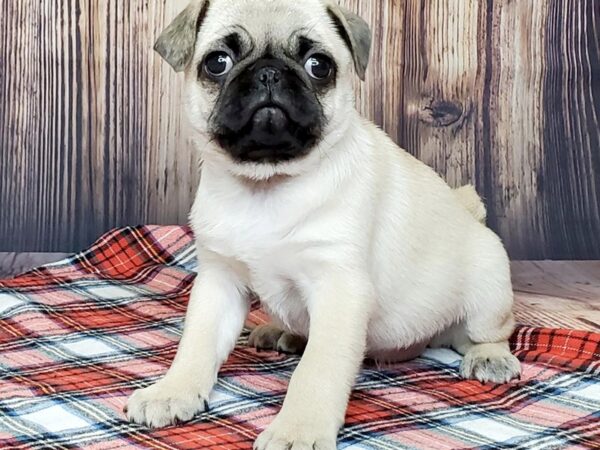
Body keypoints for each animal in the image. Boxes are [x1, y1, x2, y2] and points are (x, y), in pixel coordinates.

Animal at [126, 0, 520, 450]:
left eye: (319, 65)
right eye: (217, 62)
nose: (269, 72)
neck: (268, 184)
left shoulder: (339, 288)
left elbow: (317, 369)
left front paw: (299, 428)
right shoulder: (218, 281)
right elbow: (197, 343)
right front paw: (172, 390)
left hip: (488, 287)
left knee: (486, 331)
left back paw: (489, 356)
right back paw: (282, 333)